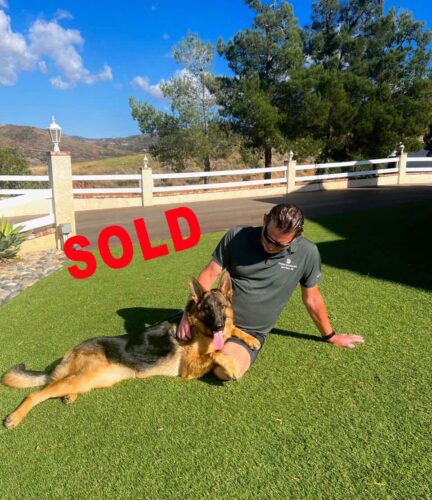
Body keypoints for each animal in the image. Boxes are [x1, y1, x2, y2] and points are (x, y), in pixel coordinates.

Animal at [2, 274, 260, 430]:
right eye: (206, 309)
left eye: (222, 307)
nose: (217, 325)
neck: (200, 330)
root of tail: (72, 350)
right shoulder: (188, 368)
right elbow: (216, 353)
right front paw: (232, 365)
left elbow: (233, 330)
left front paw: (250, 338)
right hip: (81, 377)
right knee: (36, 394)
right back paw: (14, 417)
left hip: (91, 380)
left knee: (59, 388)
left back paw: (69, 396)